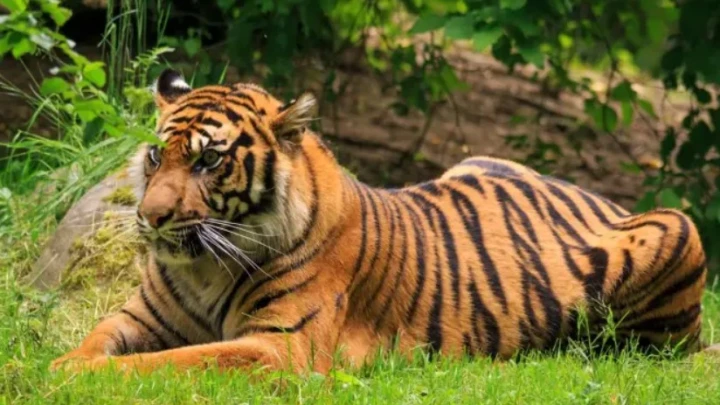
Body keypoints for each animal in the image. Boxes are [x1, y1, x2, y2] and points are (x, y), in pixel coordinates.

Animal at [50, 68, 710, 375]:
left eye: (209, 160)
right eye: (157, 155)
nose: (151, 217)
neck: (205, 269)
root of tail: (596, 196)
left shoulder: (278, 347)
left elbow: (162, 365)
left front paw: (79, 380)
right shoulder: (140, 317)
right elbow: (97, 341)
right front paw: (58, 366)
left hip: (678, 228)